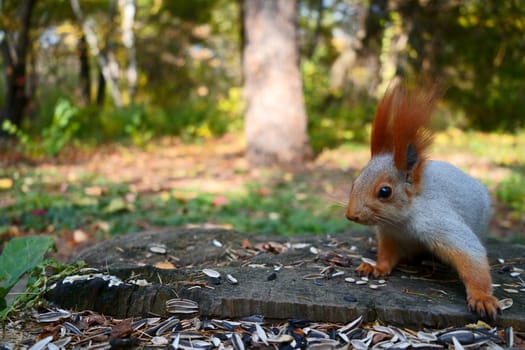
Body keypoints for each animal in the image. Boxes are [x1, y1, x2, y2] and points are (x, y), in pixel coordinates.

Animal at [344, 83, 500, 318]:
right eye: (355, 182)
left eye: (384, 191)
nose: (350, 215)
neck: (401, 221)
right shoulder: (389, 234)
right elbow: (387, 255)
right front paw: (376, 267)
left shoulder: (439, 222)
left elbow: (471, 254)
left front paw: (482, 297)